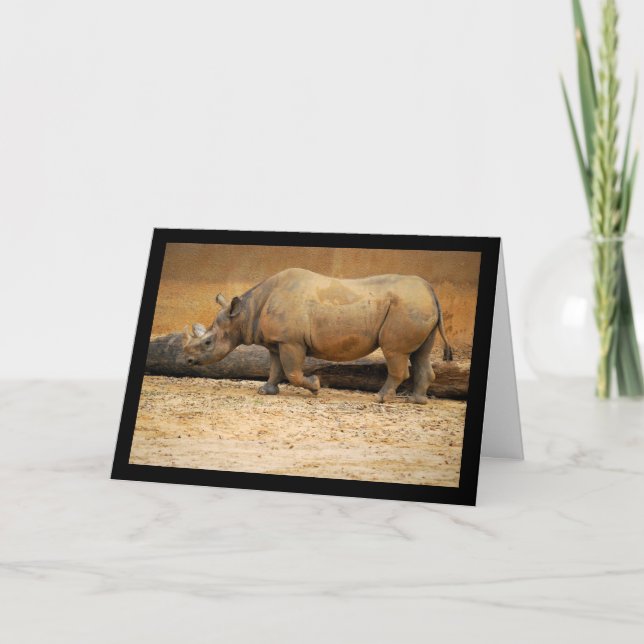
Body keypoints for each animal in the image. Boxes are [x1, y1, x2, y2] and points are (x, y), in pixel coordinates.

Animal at [183, 268, 453, 404]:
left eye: (207, 342)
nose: (187, 361)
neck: (245, 313)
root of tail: (431, 290)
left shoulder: (291, 341)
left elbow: (292, 372)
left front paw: (315, 386)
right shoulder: (276, 342)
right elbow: (275, 368)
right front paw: (266, 391)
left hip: (407, 306)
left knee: (395, 352)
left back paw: (381, 398)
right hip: (417, 305)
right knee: (420, 354)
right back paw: (416, 401)